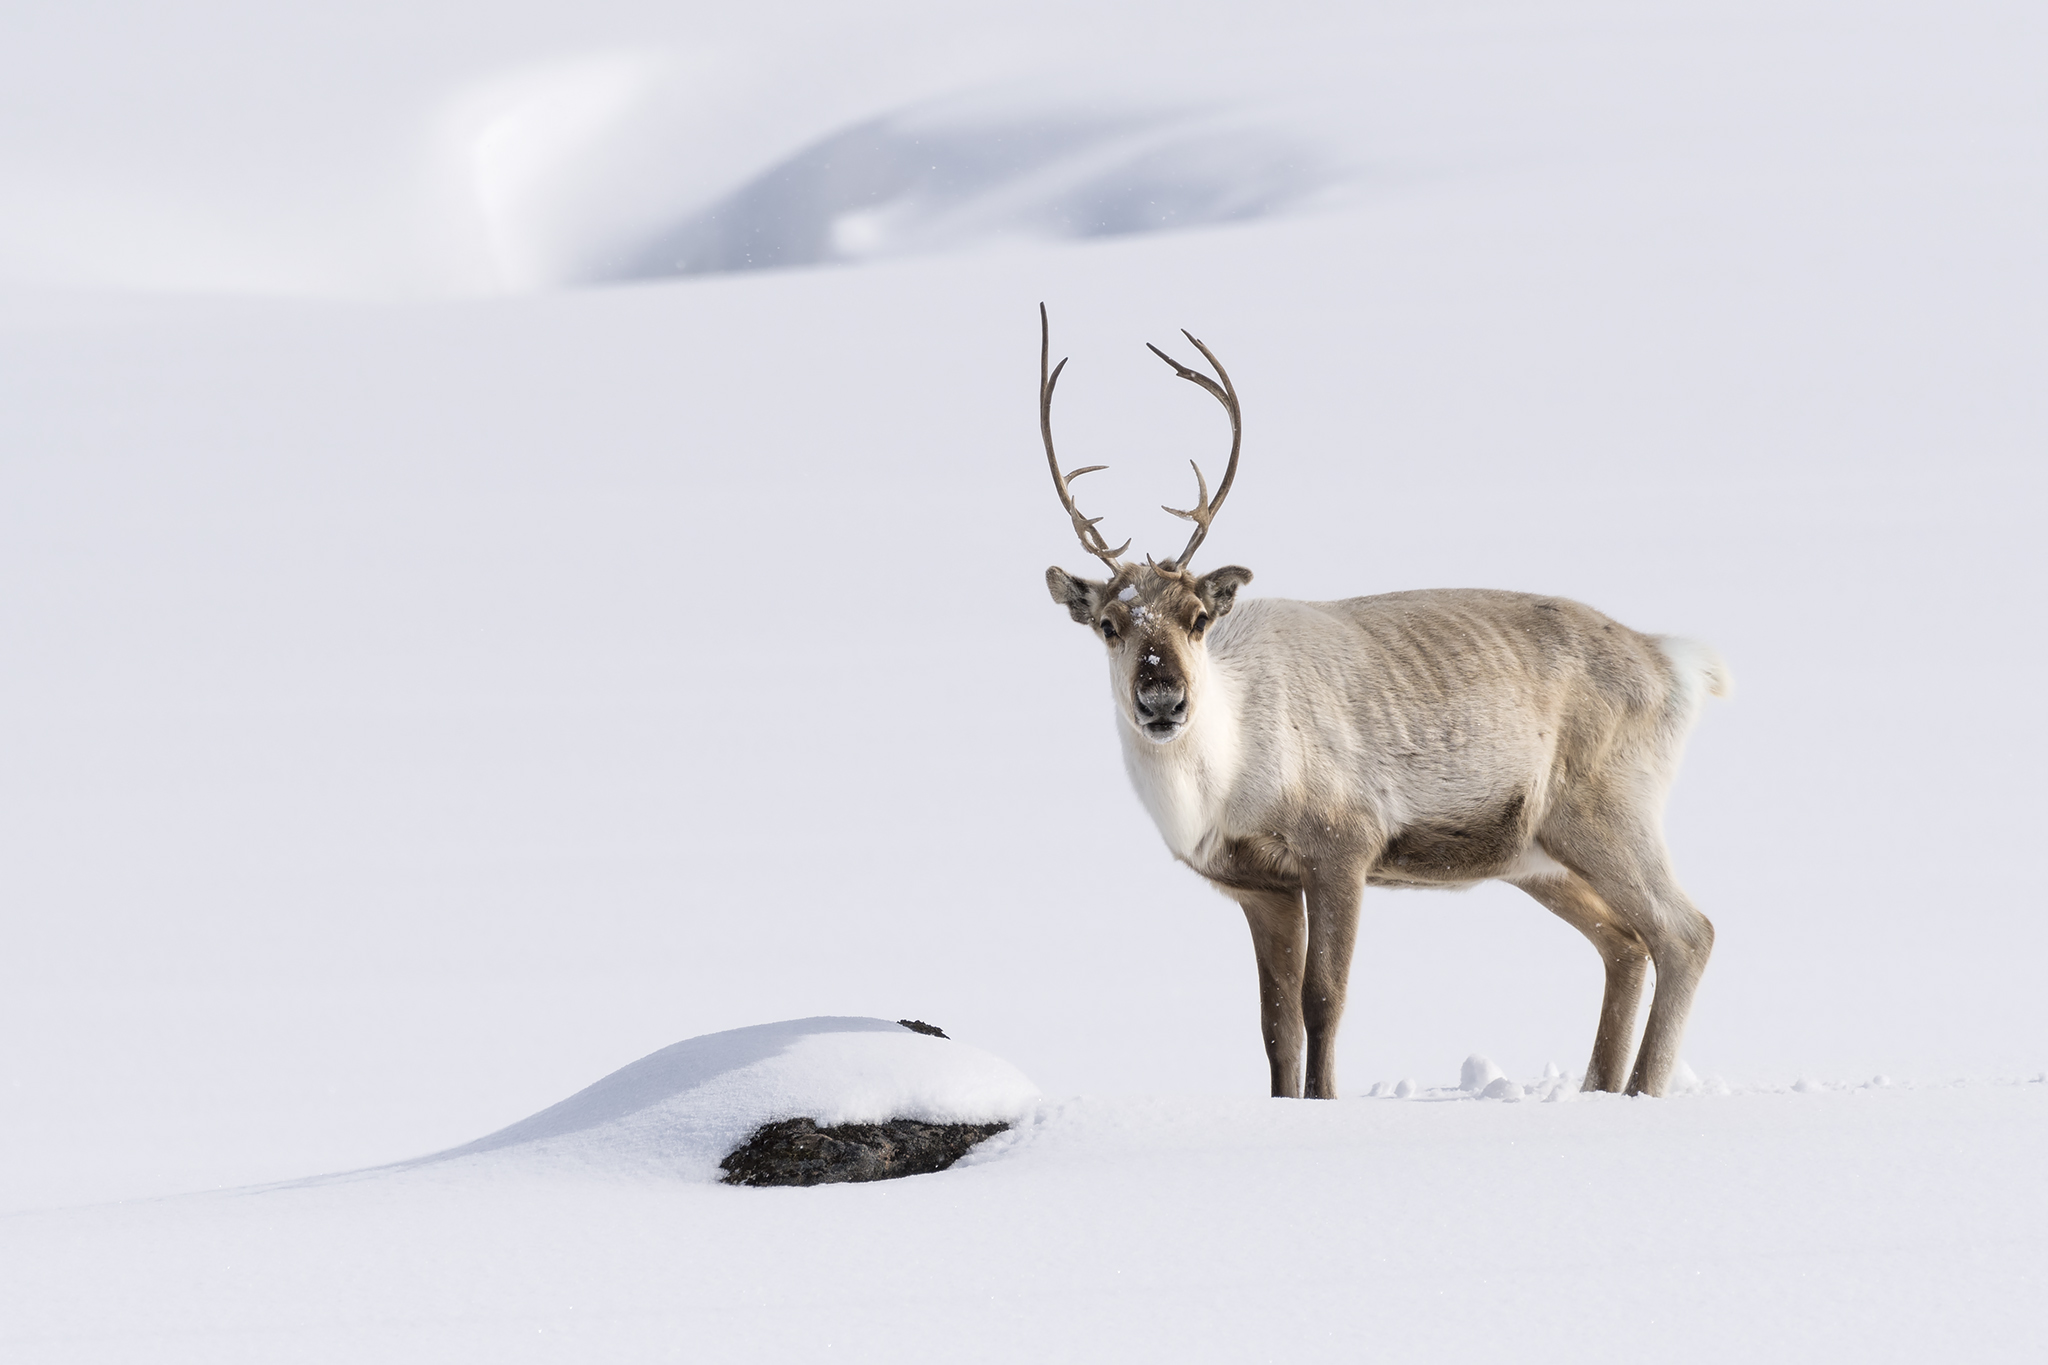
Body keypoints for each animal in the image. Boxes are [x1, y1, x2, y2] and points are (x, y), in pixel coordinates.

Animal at [1036, 305, 1728, 1099]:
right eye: (1108, 624)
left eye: (1198, 617)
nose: (1162, 698)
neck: (1227, 777)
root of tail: (1676, 661)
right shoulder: (1258, 885)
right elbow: (1274, 1025)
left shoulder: (1343, 843)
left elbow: (1323, 998)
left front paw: (1327, 1100)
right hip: (1539, 856)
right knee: (1625, 943)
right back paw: (1599, 1091)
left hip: (1610, 812)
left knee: (1686, 931)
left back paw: (1642, 1088)